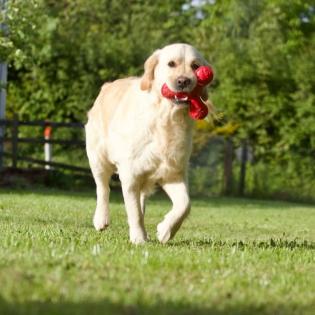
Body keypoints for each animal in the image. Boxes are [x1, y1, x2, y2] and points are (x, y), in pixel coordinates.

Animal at [86, 42, 212, 244]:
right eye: (171, 64)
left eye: (195, 66)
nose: (183, 81)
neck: (166, 118)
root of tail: (107, 86)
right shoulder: (130, 174)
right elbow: (134, 212)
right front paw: (138, 238)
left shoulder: (173, 173)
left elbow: (185, 205)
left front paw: (165, 230)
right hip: (98, 157)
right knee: (102, 188)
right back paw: (101, 219)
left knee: (141, 199)